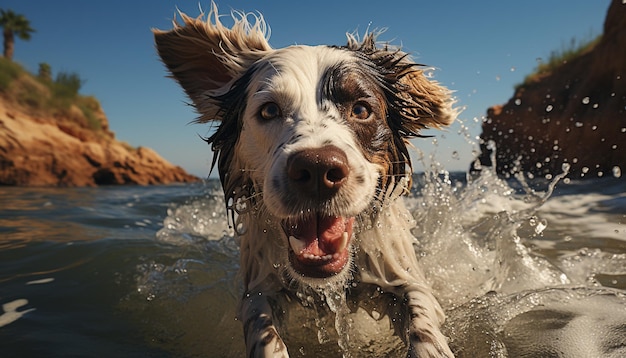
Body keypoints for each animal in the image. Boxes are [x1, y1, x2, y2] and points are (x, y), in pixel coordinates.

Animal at [151, 5, 454, 358]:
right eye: (269, 110)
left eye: (361, 109)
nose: (317, 170)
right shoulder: (260, 286)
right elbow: (262, 328)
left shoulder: (398, 268)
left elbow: (421, 315)